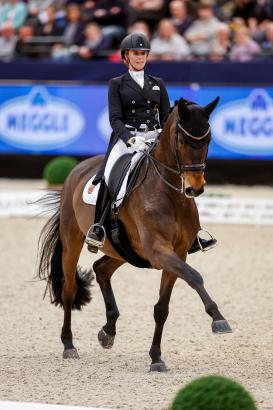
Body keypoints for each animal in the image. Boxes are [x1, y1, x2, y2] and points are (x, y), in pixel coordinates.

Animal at [37, 97, 230, 374]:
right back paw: (69, 345)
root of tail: (77, 169)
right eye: (183, 141)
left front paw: (156, 358)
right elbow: (195, 276)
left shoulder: (177, 253)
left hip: (122, 249)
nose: (195, 188)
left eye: (208, 140)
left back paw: (108, 331)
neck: (169, 193)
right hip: (73, 239)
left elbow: (162, 308)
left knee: (101, 268)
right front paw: (218, 318)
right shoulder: (159, 251)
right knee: (69, 288)